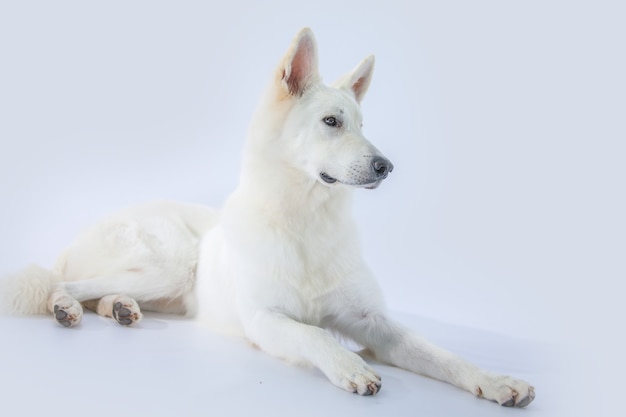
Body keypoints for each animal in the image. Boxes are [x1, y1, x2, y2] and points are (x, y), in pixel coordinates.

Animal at [3, 28, 532, 406]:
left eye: (363, 125)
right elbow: (313, 332)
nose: (387, 166)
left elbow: (439, 352)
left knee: (103, 293)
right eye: (331, 122)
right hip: (170, 264)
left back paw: (119, 309)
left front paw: (496, 380)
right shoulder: (265, 319)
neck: (306, 222)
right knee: (65, 282)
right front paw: (348, 365)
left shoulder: (374, 322)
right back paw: (66, 306)